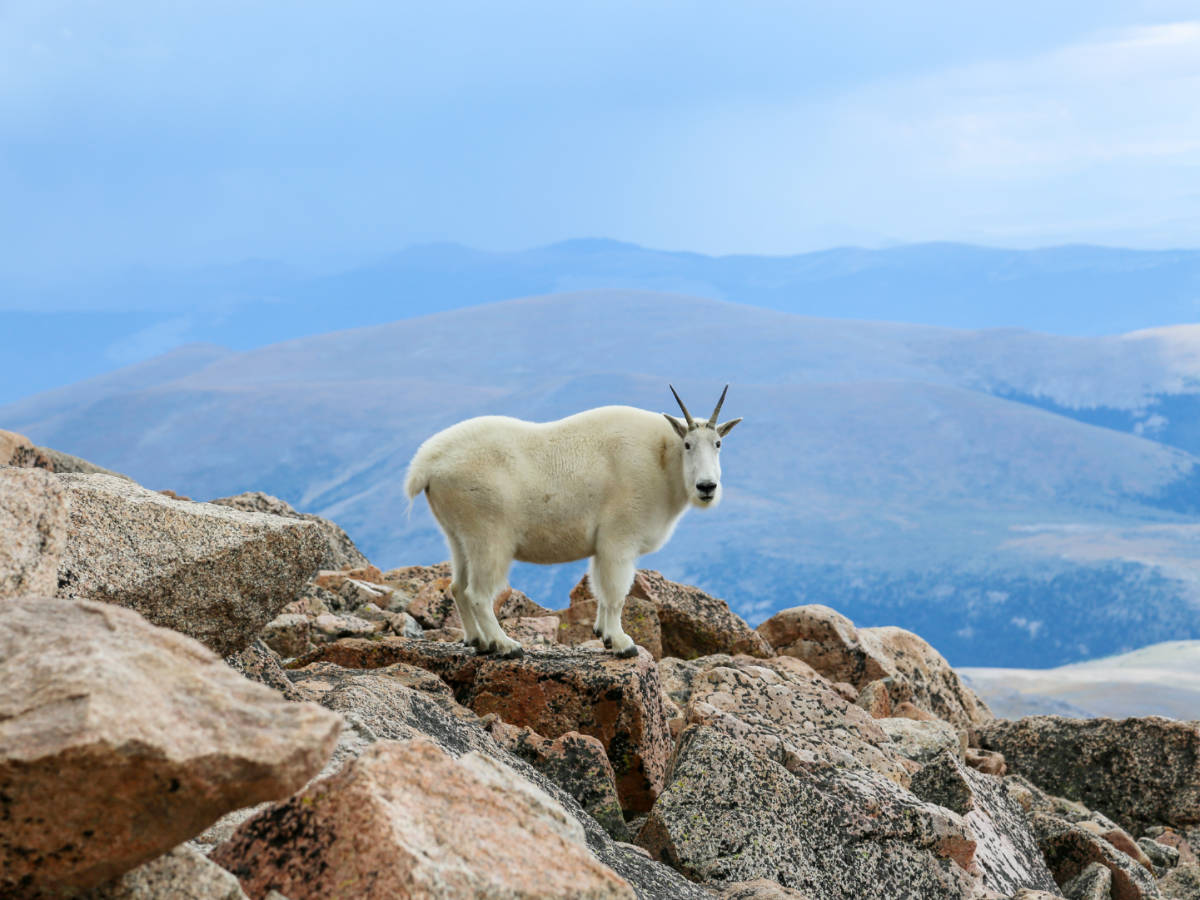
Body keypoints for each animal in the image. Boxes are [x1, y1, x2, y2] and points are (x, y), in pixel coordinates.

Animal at [403, 386, 742, 658]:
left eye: (718, 444)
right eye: (688, 444)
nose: (707, 487)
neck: (661, 460)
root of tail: (425, 465)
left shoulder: (602, 546)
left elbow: (601, 590)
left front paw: (603, 635)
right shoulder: (619, 539)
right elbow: (616, 593)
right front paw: (623, 643)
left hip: (458, 535)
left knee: (457, 587)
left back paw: (479, 642)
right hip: (488, 535)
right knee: (478, 594)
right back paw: (506, 645)